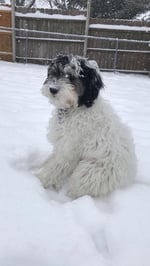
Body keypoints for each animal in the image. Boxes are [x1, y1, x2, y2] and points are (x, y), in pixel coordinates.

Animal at [37, 54, 137, 197]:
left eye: (71, 77)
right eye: (55, 72)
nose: (53, 89)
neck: (77, 107)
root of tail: (129, 176)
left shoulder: (70, 149)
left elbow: (56, 167)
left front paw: (41, 179)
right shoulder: (61, 144)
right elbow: (52, 159)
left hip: (90, 172)